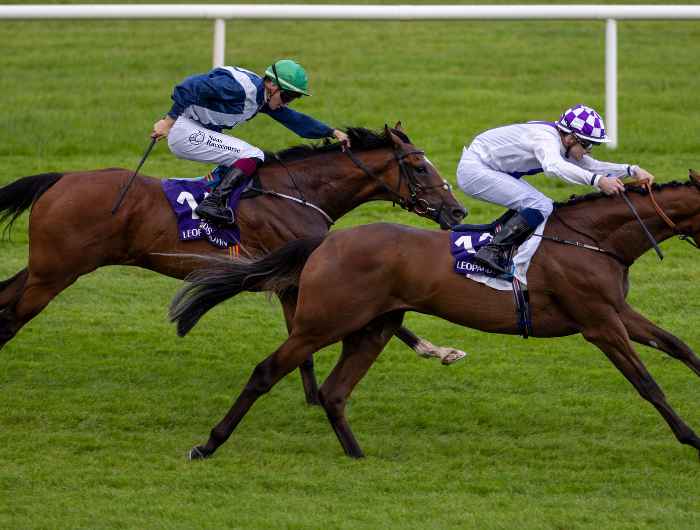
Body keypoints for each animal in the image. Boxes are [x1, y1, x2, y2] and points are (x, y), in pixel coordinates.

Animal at [0, 127, 468, 400]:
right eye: (418, 167)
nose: (458, 210)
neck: (299, 193)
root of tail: (60, 178)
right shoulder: (298, 276)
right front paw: (441, 350)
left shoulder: (293, 280)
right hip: (55, 273)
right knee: (10, 319)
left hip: (45, 268)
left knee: (5, 297)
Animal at [172, 172, 700, 458]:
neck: (593, 240)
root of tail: (326, 241)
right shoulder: (598, 323)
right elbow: (647, 383)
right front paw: (690, 436)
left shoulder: (617, 310)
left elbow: (679, 346)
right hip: (323, 322)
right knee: (267, 372)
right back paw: (208, 444)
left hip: (373, 327)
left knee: (334, 392)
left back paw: (358, 456)